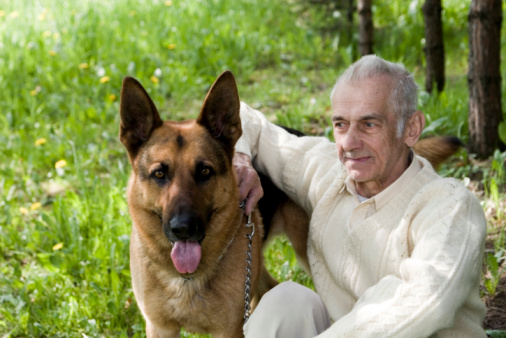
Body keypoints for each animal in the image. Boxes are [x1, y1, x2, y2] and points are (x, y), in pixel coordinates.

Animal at [118, 70, 276, 336]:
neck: (185, 278)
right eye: (159, 174)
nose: (183, 229)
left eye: (204, 171)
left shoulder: (228, 330)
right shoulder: (160, 327)